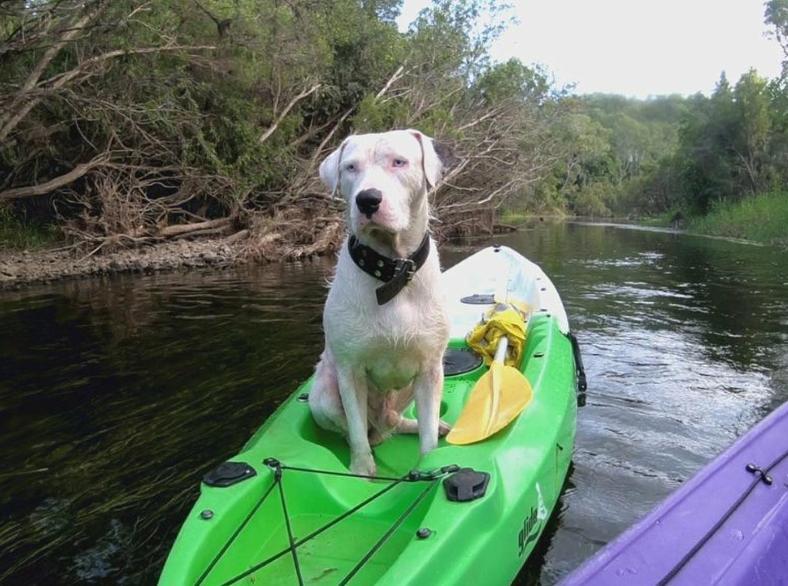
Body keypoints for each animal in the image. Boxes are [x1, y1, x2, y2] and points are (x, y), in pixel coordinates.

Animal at [310, 128, 452, 474]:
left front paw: (429, 466)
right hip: (322, 398)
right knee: (362, 430)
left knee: (397, 420)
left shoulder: (430, 370)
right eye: (350, 167)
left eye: (398, 162)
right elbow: (357, 431)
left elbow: (428, 436)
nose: (367, 199)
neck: (392, 273)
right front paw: (362, 470)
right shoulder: (350, 373)